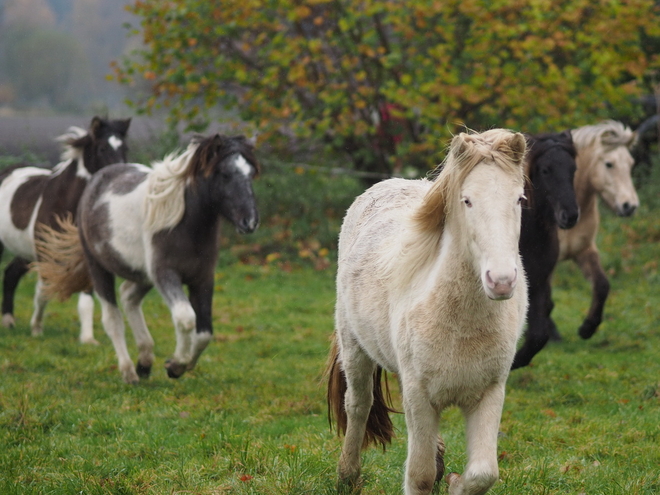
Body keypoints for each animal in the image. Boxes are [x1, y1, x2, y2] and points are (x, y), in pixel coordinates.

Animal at [0, 116, 130, 342]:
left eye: (125, 148)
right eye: (102, 148)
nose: (119, 177)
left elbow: (86, 300)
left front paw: (88, 339)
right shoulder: (45, 253)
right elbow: (43, 291)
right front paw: (36, 329)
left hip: (25, 251)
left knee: (10, 274)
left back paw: (9, 322)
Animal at [328, 129, 528, 495]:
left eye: (519, 200)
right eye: (467, 200)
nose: (502, 281)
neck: (460, 323)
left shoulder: (489, 394)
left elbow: (483, 473)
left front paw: (453, 481)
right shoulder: (419, 396)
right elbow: (419, 476)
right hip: (354, 348)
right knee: (358, 405)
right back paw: (347, 476)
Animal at [510, 133, 576, 372]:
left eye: (573, 169)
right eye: (546, 170)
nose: (570, 215)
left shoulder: (539, 284)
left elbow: (539, 335)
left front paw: (516, 362)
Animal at [556, 119, 640, 340]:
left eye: (631, 164)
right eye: (609, 164)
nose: (630, 206)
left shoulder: (584, 250)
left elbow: (602, 285)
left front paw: (588, 327)